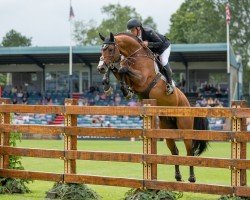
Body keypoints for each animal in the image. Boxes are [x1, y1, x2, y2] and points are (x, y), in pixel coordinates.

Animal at [96, 31, 208, 183]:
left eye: (111, 49)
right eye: (102, 49)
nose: (100, 68)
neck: (136, 56)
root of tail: (190, 105)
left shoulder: (142, 80)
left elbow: (123, 69)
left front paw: (124, 89)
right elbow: (118, 70)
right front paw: (110, 85)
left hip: (185, 128)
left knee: (189, 151)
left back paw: (191, 178)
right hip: (167, 128)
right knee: (175, 151)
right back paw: (178, 177)